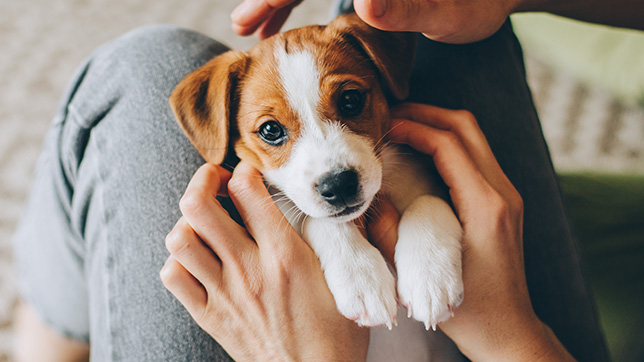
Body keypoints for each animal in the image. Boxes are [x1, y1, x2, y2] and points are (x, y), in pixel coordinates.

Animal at [171, 13, 462, 330]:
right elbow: (318, 221)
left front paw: (429, 275)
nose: (338, 185)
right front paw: (361, 278)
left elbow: (428, 200)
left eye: (350, 100)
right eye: (270, 130)